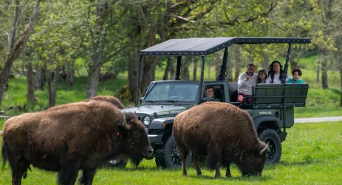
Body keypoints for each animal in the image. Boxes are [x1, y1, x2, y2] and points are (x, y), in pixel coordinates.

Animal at [1, 100, 154, 184]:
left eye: (144, 130)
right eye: (135, 133)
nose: (150, 151)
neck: (110, 128)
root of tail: (7, 124)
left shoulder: (91, 166)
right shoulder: (70, 165)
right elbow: (67, 181)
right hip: (17, 162)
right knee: (16, 178)